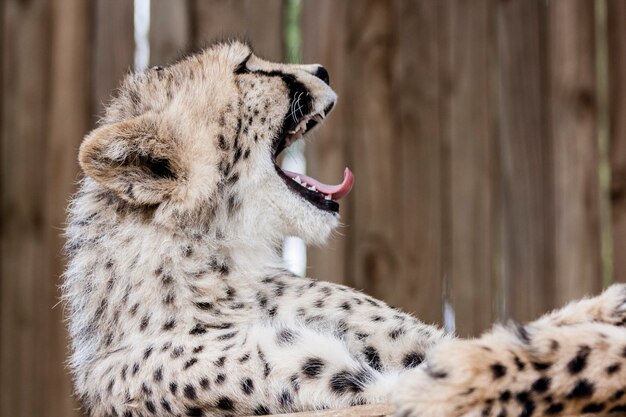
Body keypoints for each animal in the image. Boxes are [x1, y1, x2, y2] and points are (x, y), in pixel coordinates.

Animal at [64, 41, 626, 416]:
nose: (321, 67)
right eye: (247, 67)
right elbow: (537, 360)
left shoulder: (414, 353)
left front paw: (605, 310)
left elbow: (511, 337)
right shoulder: (371, 392)